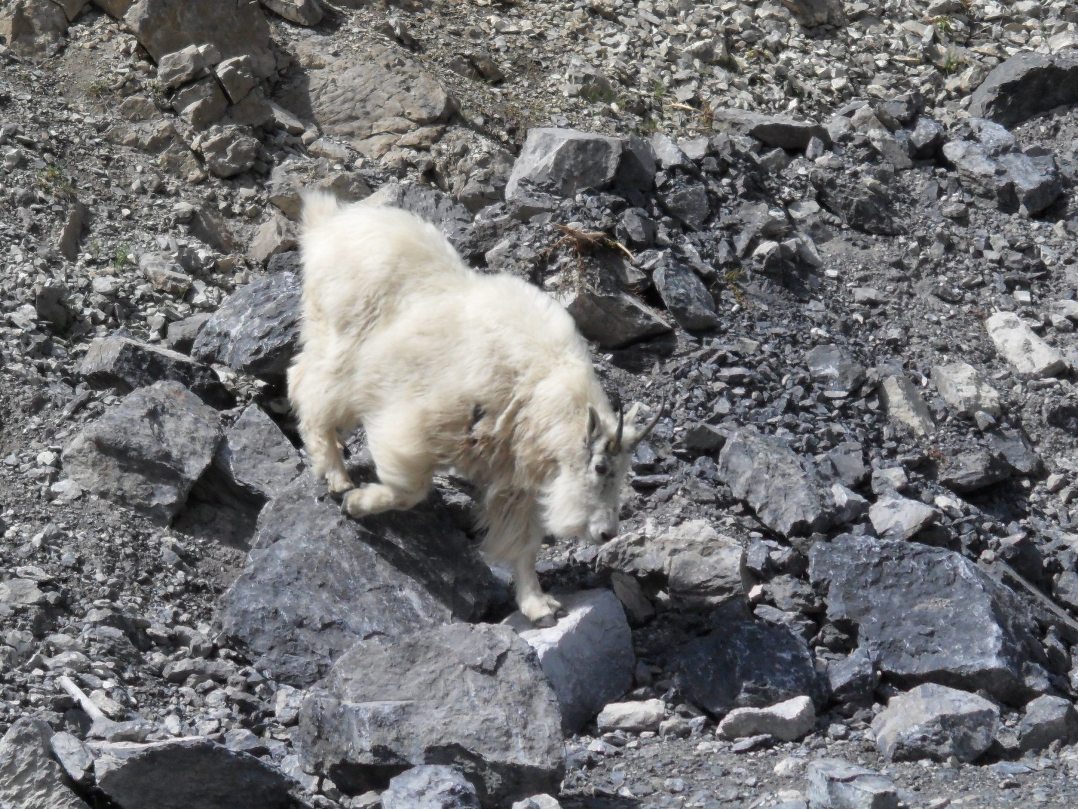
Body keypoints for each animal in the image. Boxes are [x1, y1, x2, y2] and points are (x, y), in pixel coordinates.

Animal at [287, 192, 661, 624]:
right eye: (600, 467)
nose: (605, 533)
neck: (539, 392)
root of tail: (326, 223)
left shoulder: (517, 478)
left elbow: (523, 542)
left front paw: (539, 605)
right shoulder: (418, 424)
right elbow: (408, 490)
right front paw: (359, 504)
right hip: (339, 344)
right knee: (308, 386)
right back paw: (336, 476)